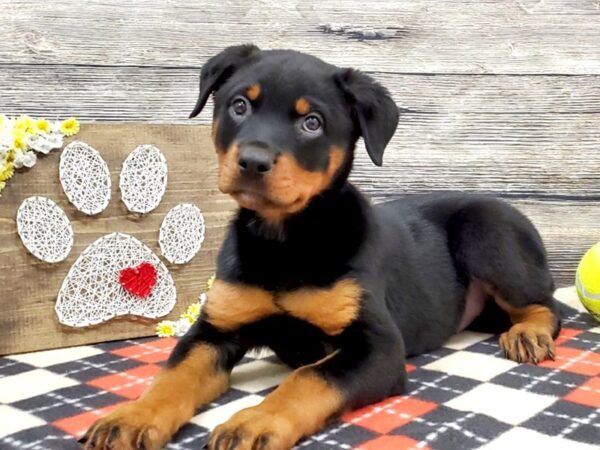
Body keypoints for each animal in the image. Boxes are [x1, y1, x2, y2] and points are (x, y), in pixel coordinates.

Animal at [82, 44, 560, 450]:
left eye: (311, 122)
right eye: (239, 105)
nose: (252, 161)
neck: (283, 241)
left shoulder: (377, 346)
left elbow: (310, 379)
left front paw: (255, 422)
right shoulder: (214, 331)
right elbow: (173, 375)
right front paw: (131, 417)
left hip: (488, 232)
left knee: (546, 305)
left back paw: (528, 334)